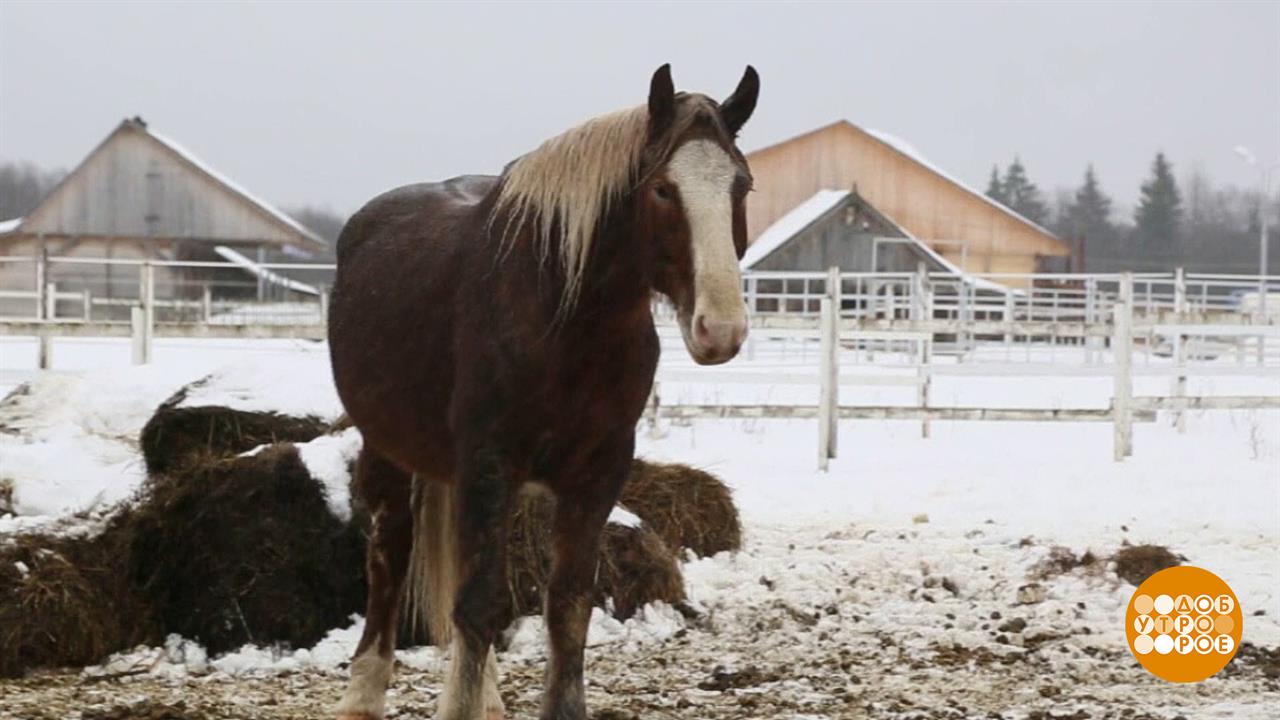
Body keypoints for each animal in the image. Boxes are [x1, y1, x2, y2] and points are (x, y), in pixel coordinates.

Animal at [325, 63, 757, 717]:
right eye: (662, 189)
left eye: (742, 186)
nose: (721, 329)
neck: (564, 318)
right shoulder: (490, 463)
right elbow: (479, 605)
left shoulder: (597, 472)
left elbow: (568, 603)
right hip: (390, 452)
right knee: (389, 560)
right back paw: (364, 695)